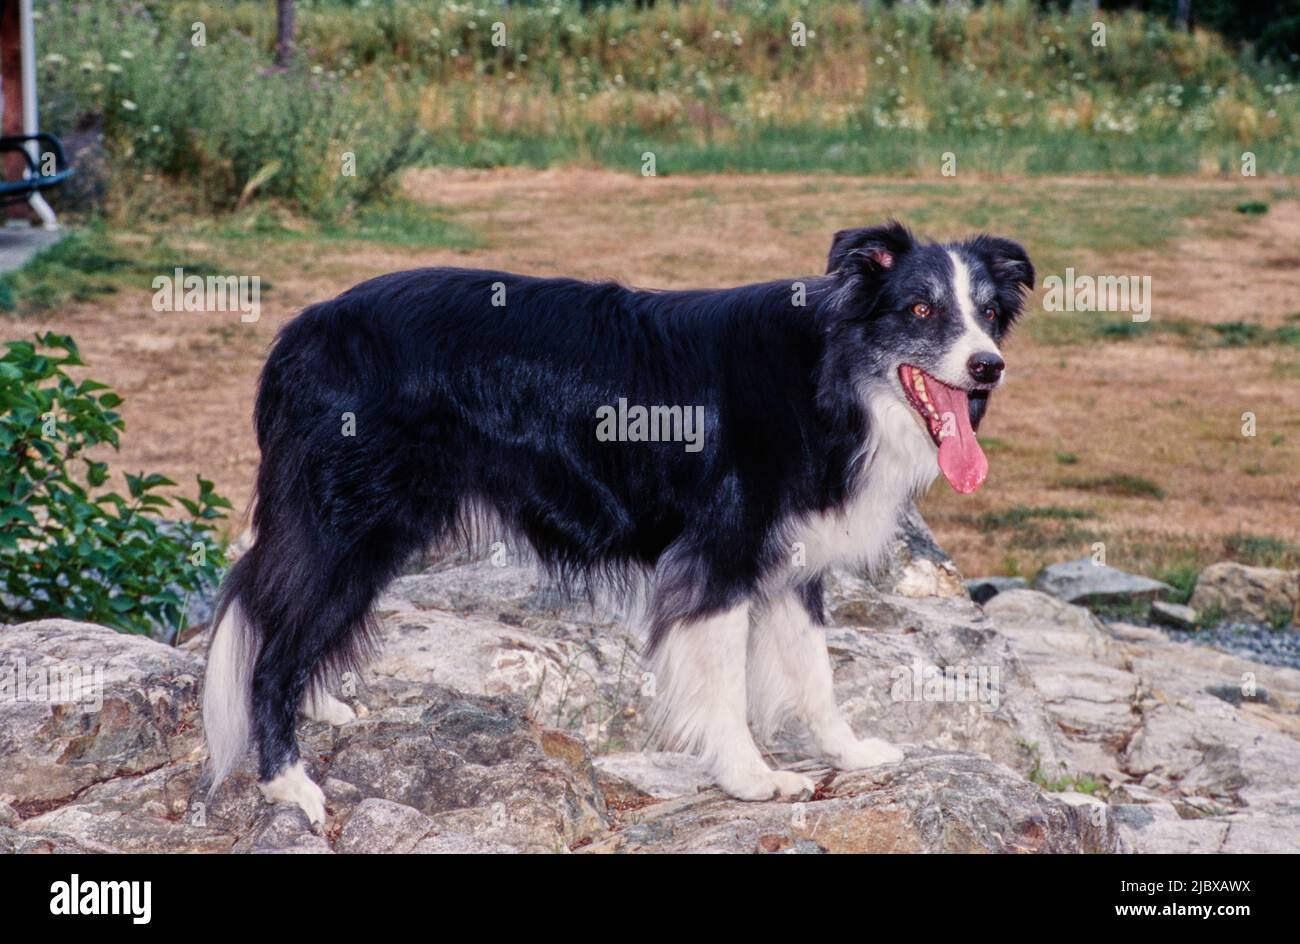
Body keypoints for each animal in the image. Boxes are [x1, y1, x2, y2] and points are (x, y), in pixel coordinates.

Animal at [202, 223, 1029, 826]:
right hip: (349, 523)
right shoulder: (718, 558)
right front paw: (752, 778)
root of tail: (297, 336)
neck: (832, 373)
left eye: (989, 314)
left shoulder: (793, 564)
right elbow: (725, 684)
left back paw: (322, 708)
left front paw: (851, 756)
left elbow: (815, 676)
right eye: (920, 310)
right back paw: (289, 783)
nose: (989, 367)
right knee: (273, 646)